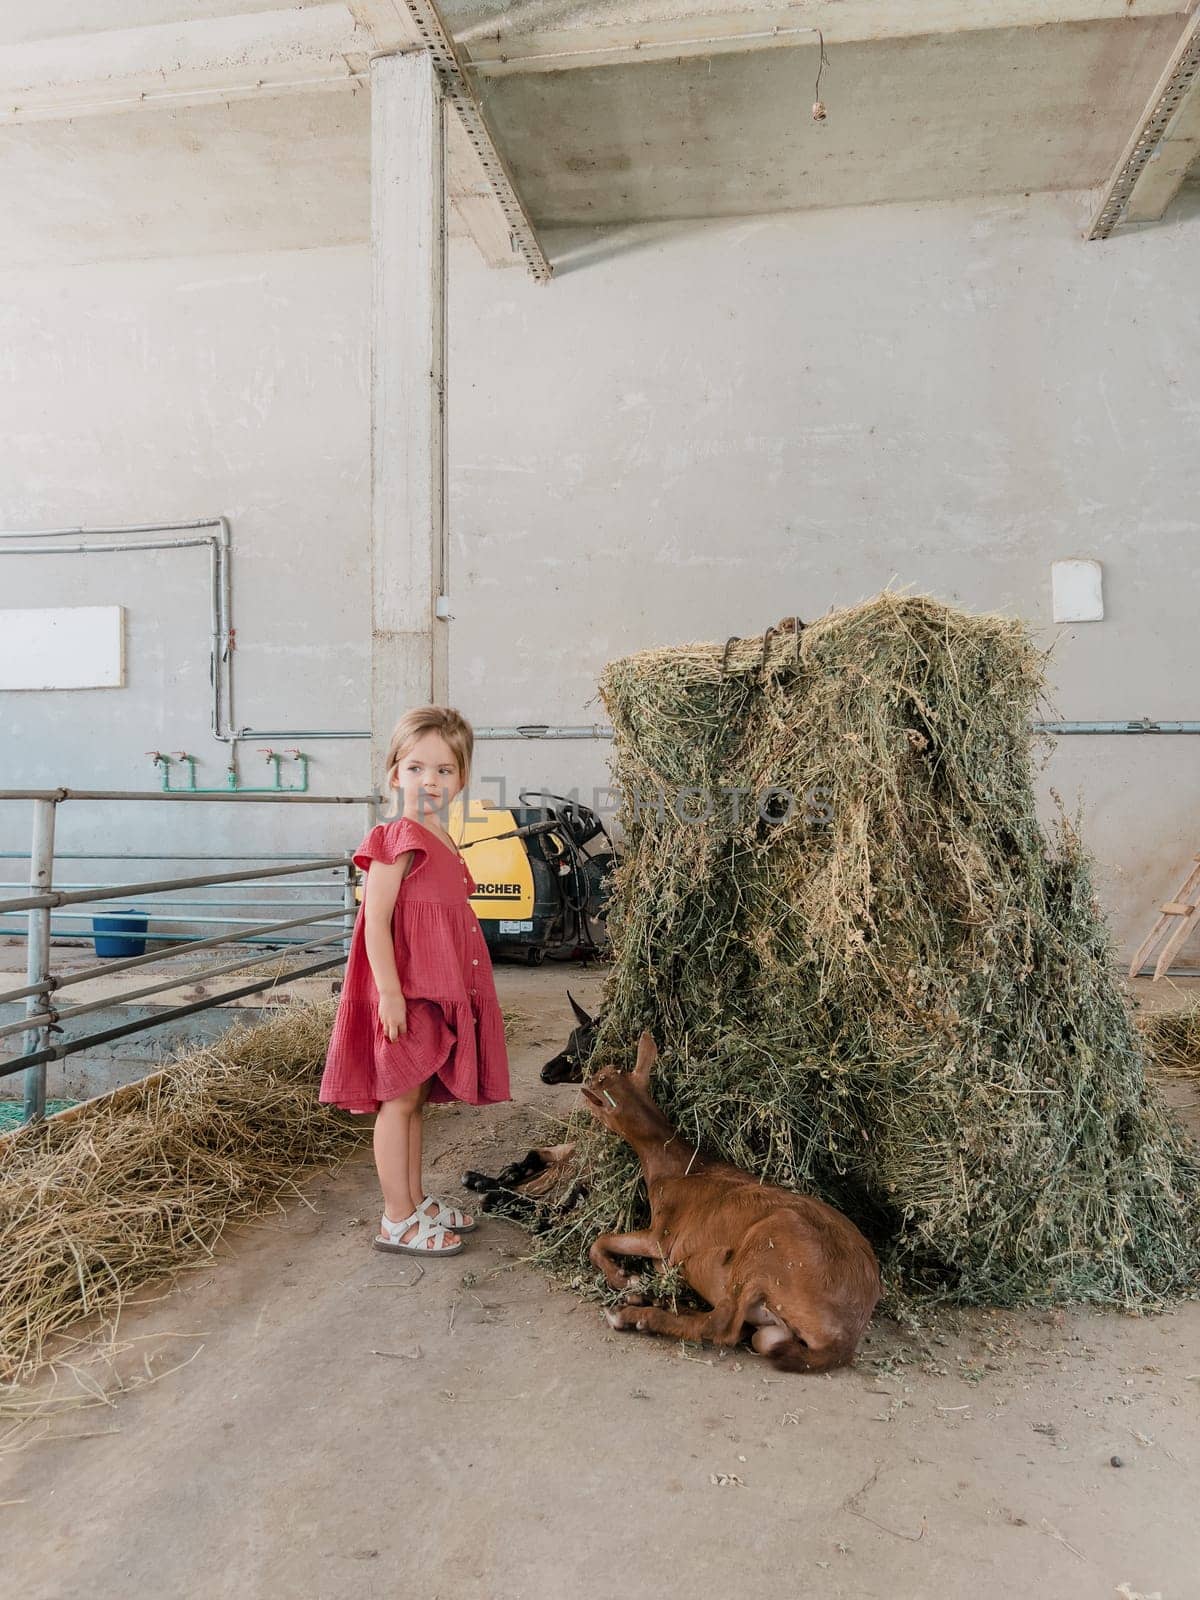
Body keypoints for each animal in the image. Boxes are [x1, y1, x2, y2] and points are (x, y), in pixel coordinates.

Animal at [582, 1036, 883, 1376]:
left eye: (600, 1079)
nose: (588, 1076)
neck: (678, 1166)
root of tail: (842, 1340)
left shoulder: (661, 1235)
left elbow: (600, 1241)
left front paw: (623, 1277)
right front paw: (632, 1281)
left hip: (769, 1242)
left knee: (724, 1324)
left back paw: (632, 1315)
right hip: (772, 1317)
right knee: (747, 1331)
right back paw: (648, 1300)